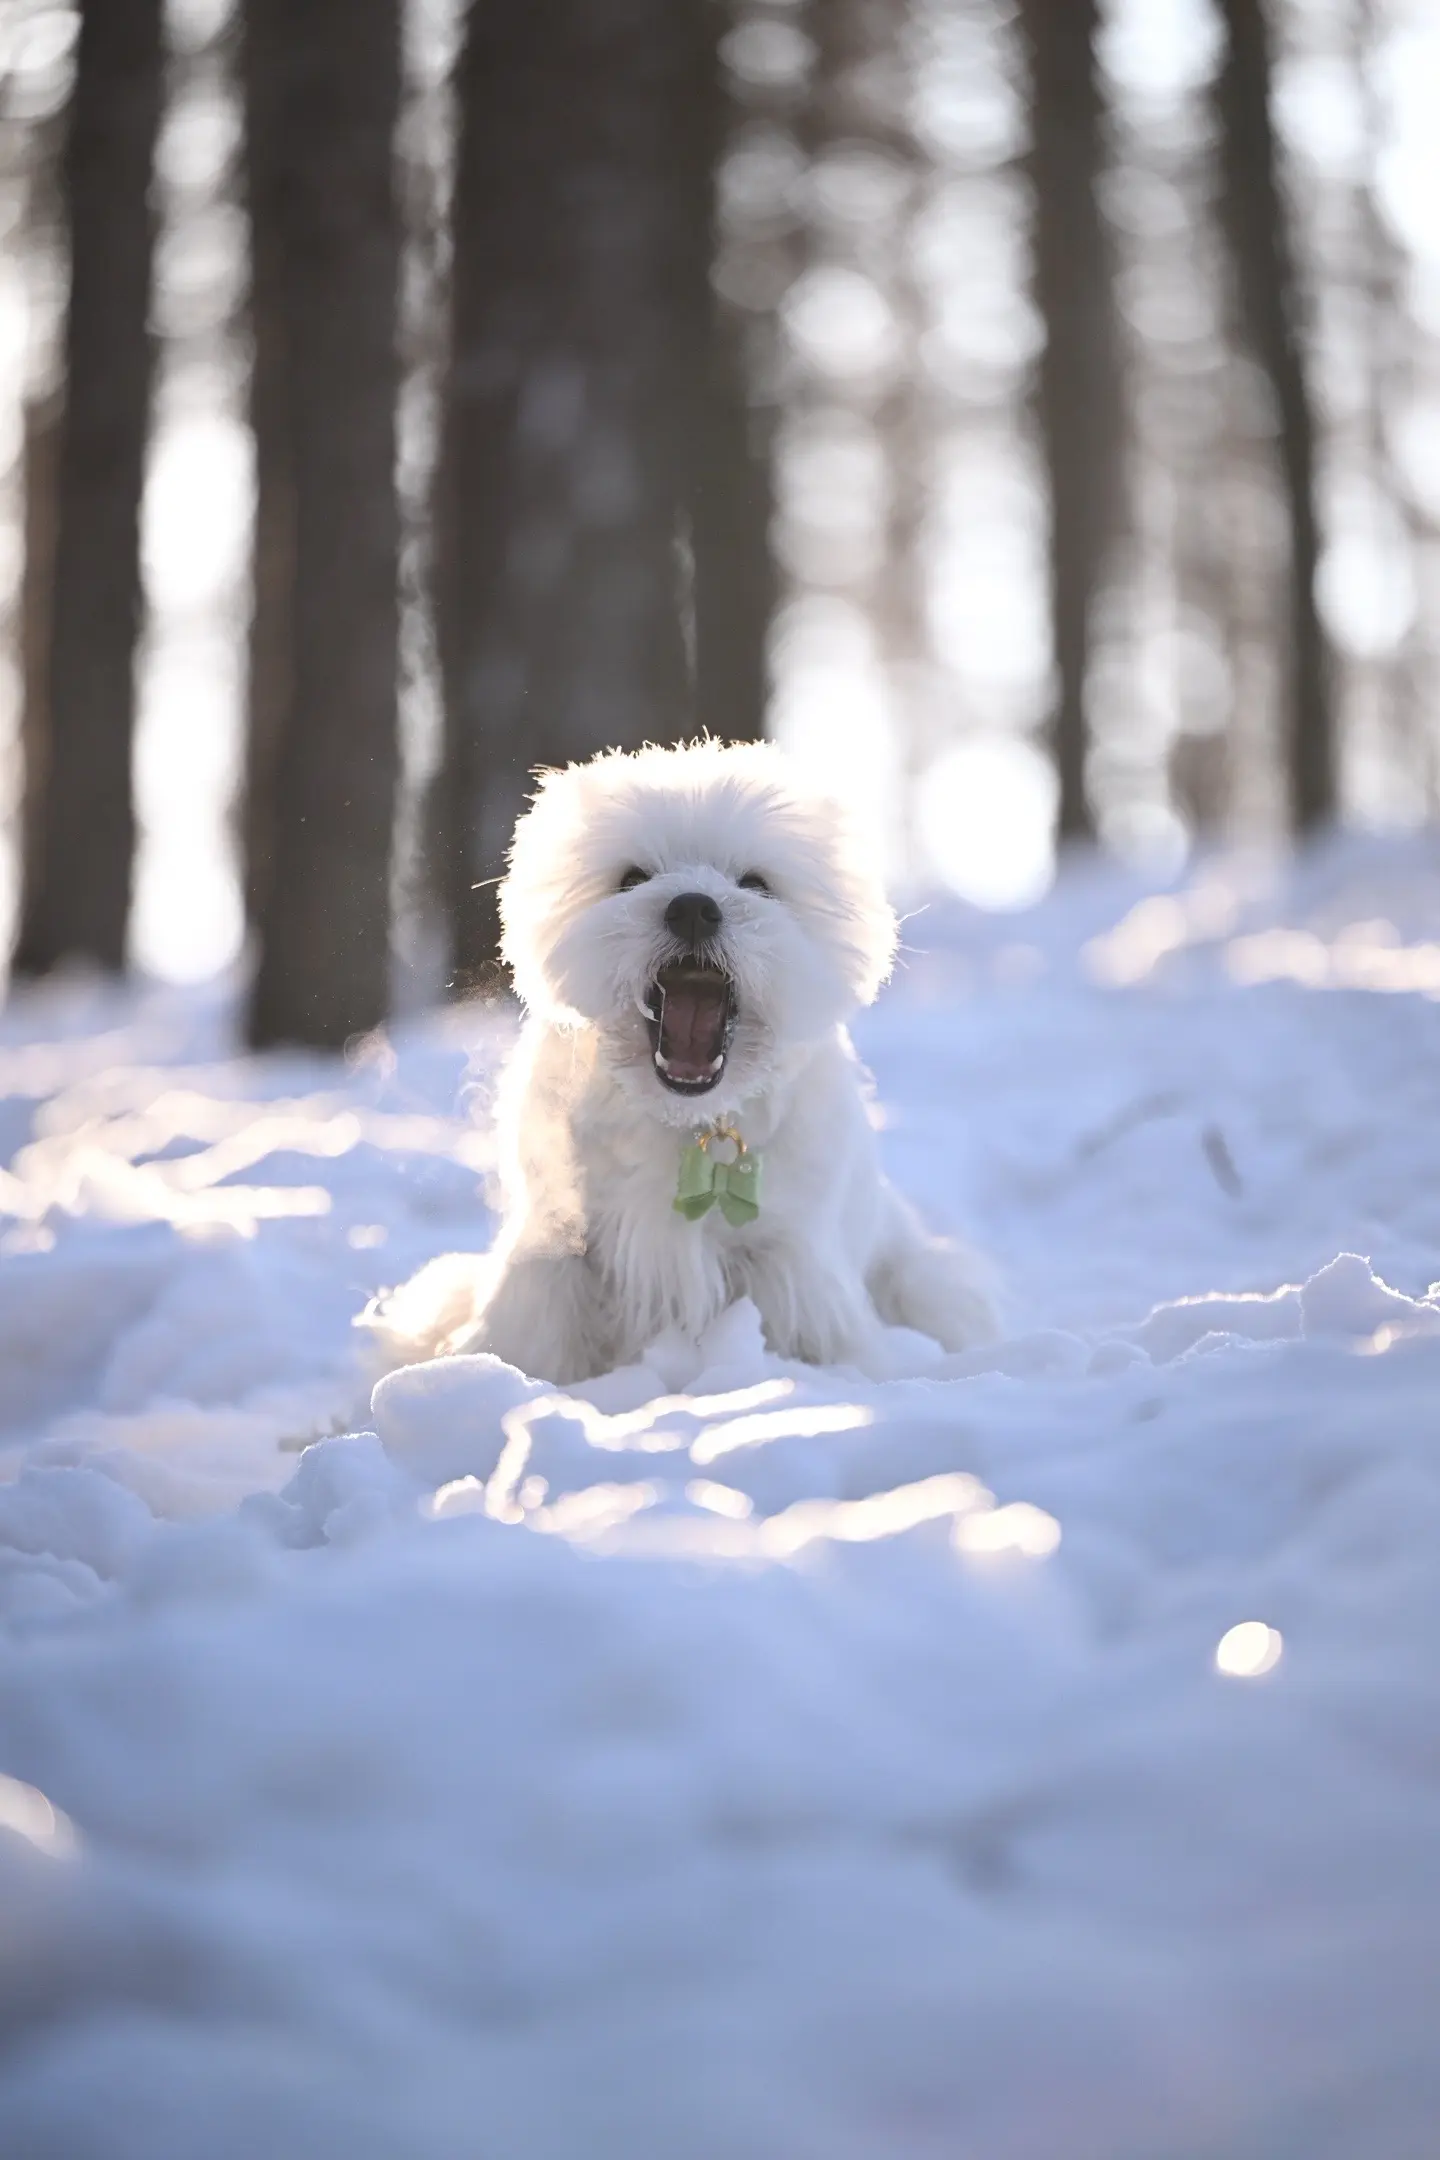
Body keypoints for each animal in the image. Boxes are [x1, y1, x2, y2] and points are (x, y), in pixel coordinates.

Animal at [377, 738, 997, 1382]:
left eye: (757, 882)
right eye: (631, 878)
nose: (694, 907)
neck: (691, 1124)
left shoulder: (788, 1259)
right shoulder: (562, 1246)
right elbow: (537, 1335)